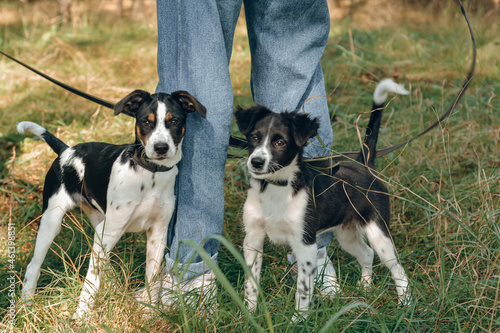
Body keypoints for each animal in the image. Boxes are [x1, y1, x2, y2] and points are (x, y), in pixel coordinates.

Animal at [17, 89, 205, 318]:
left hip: (100, 222)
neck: (150, 173)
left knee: (102, 263)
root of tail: (66, 151)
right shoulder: (109, 231)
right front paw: (80, 317)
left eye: (174, 121)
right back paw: (26, 305)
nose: (161, 148)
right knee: (34, 266)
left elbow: (152, 280)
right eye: (146, 122)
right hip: (52, 221)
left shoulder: (157, 234)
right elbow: (90, 282)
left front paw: (150, 312)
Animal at [236, 79, 412, 316]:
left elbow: (303, 290)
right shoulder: (253, 239)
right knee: (367, 254)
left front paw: (298, 319)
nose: (256, 162)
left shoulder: (305, 244)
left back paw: (406, 305)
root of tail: (363, 164)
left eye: (280, 143)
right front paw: (249, 313)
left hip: (378, 233)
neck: (277, 187)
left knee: (397, 269)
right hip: (347, 235)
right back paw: (366, 288)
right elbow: (251, 283)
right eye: (254, 137)